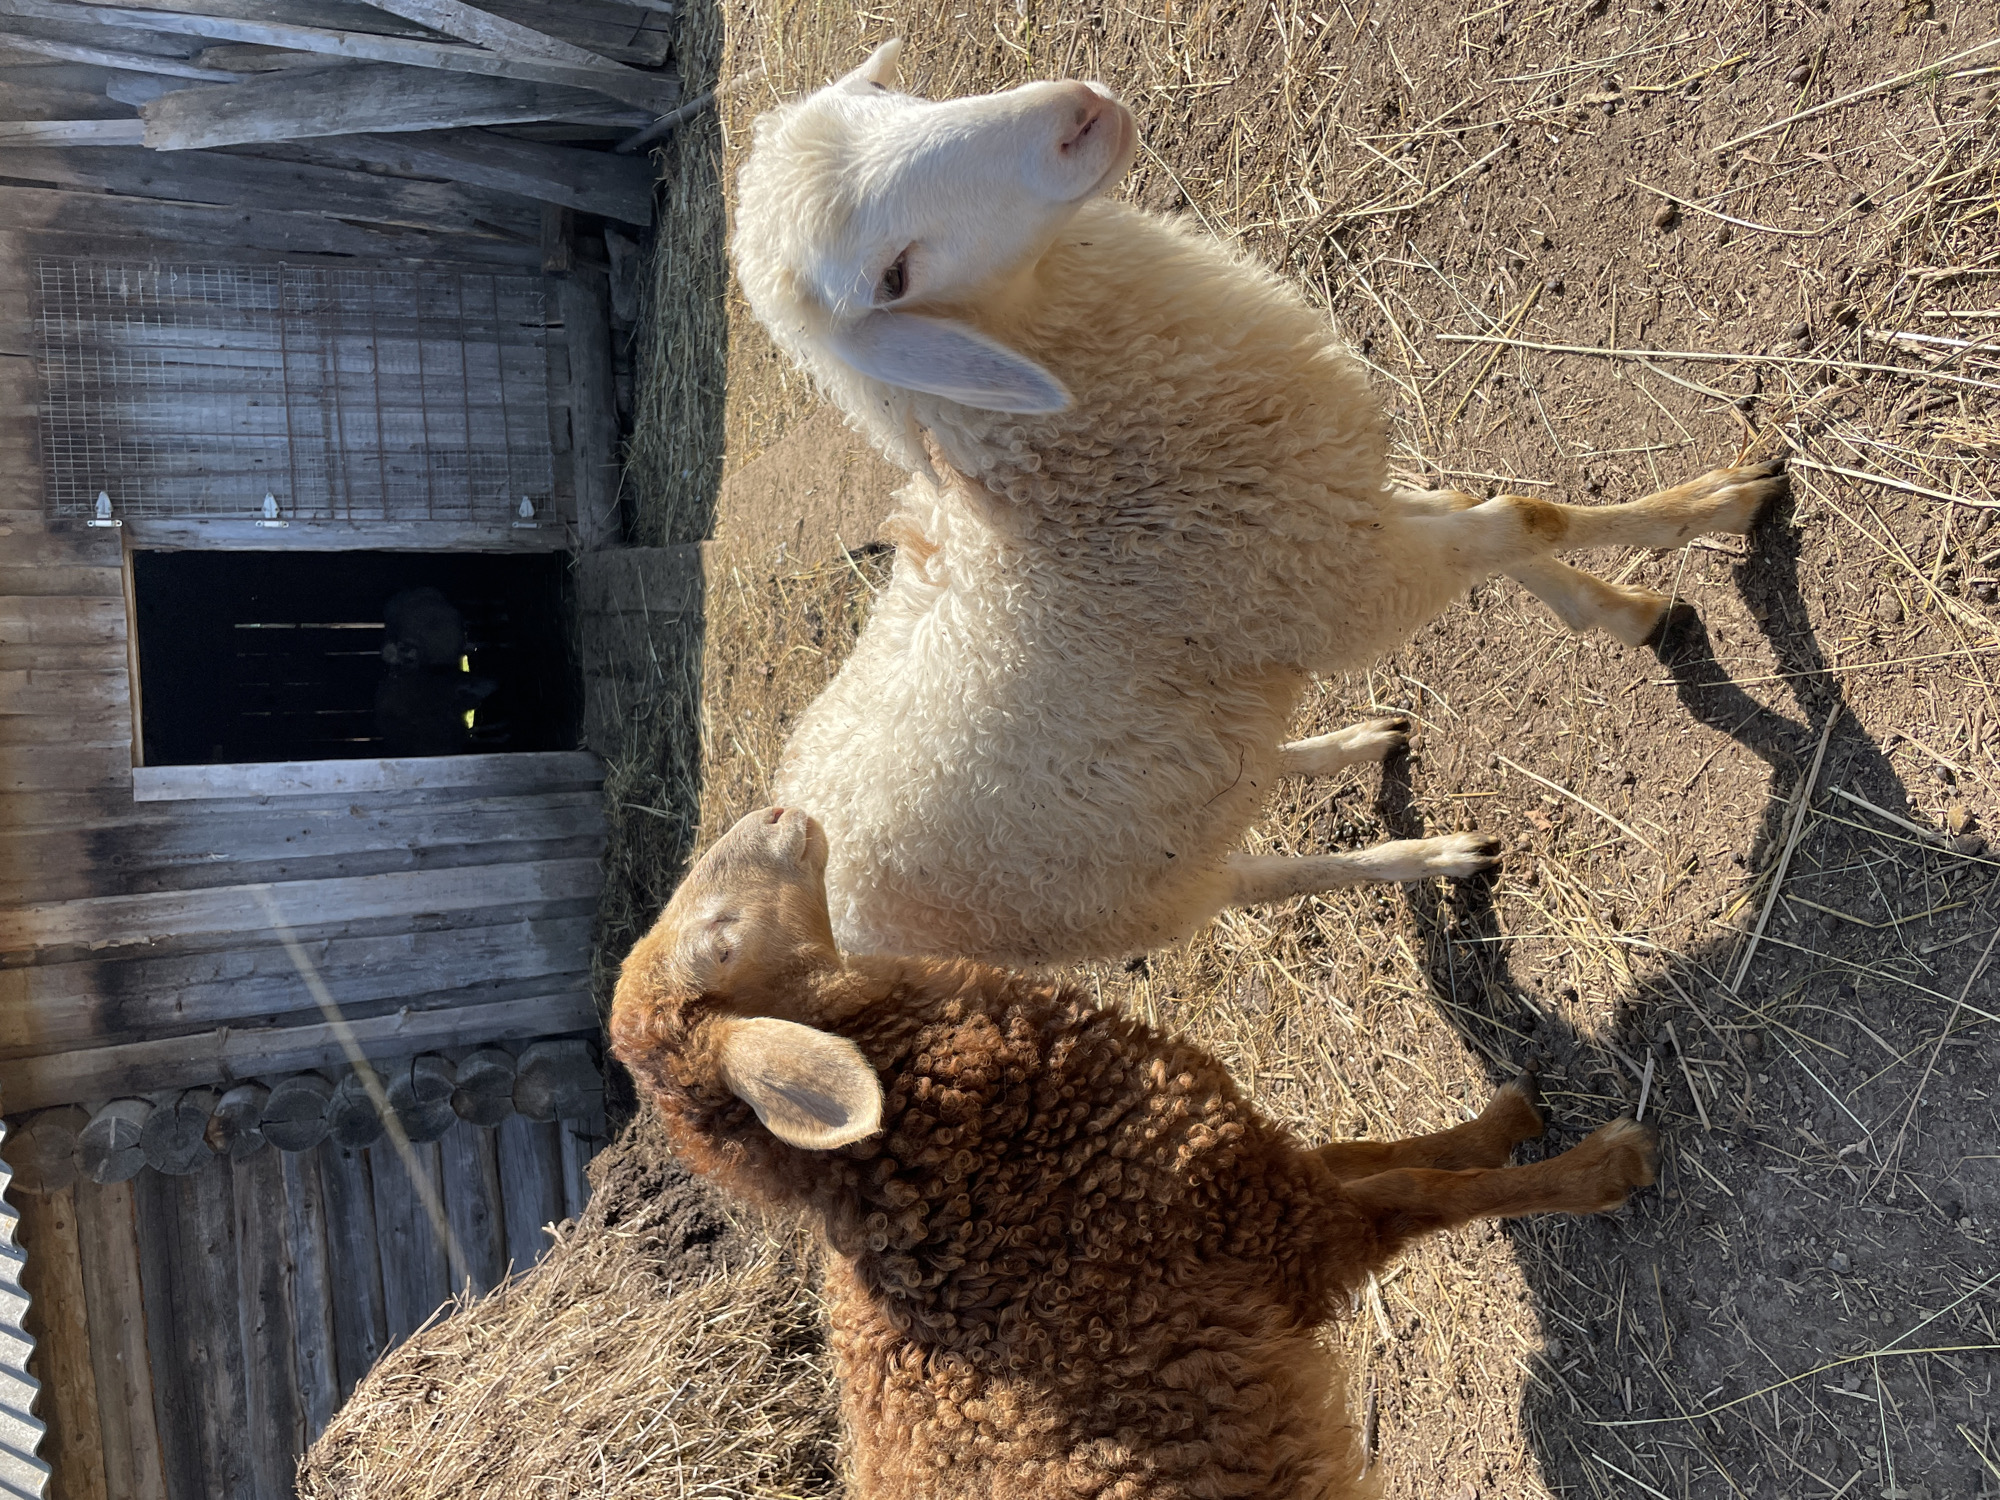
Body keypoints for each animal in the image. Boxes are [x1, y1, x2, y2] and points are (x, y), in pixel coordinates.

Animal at [610, 804, 1661, 1500]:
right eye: (719, 941)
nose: (781, 811)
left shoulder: (1251, 1171)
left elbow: (1382, 1149)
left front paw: (1511, 1116)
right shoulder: (1270, 1231)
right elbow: (1420, 1192)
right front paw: (1607, 1168)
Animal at [731, 42, 1787, 966]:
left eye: (889, 97)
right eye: (892, 275)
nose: (1077, 110)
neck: (1055, 488)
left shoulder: (1326, 511)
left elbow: (1488, 514)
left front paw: (1627, 606)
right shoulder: (1331, 581)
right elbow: (1525, 518)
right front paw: (1717, 514)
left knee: (1251, 765)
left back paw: (1356, 740)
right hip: (1124, 902)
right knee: (1268, 878)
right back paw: (1430, 856)